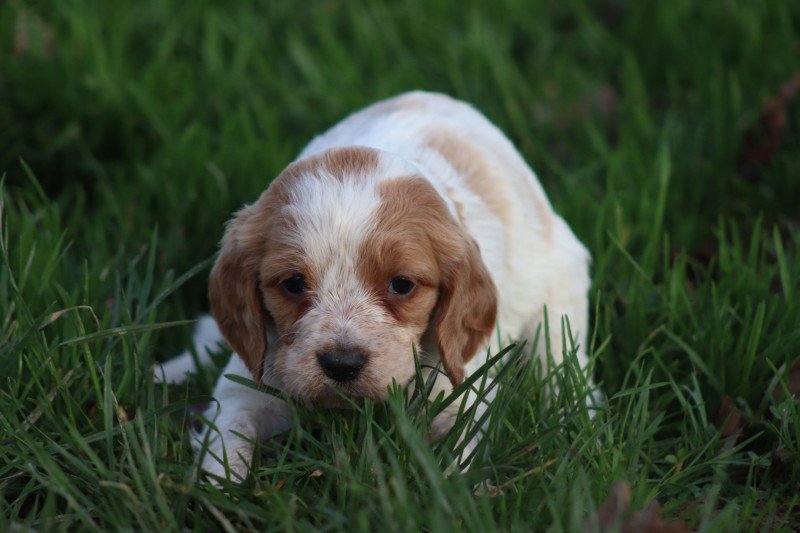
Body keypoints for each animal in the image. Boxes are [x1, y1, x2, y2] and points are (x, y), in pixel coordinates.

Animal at [158, 91, 592, 482]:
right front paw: (219, 496)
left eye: (401, 285)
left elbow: (457, 458)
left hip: (561, 289)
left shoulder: (457, 392)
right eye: (294, 283)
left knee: (560, 362)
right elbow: (226, 444)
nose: (341, 364)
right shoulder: (253, 381)